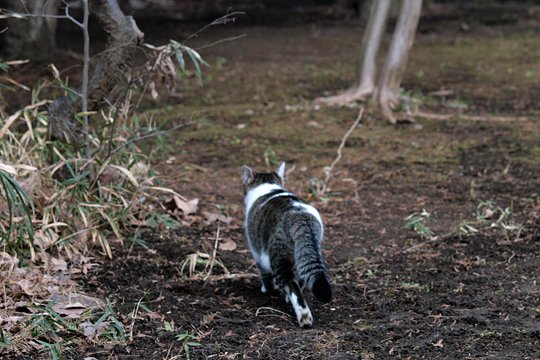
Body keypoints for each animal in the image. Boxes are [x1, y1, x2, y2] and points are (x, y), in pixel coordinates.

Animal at [242, 162, 334, 328]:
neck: (269, 186)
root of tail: (300, 217)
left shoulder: (257, 252)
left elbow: (265, 275)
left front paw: (266, 290)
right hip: (303, 252)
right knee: (301, 279)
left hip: (278, 257)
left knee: (292, 287)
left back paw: (304, 317)